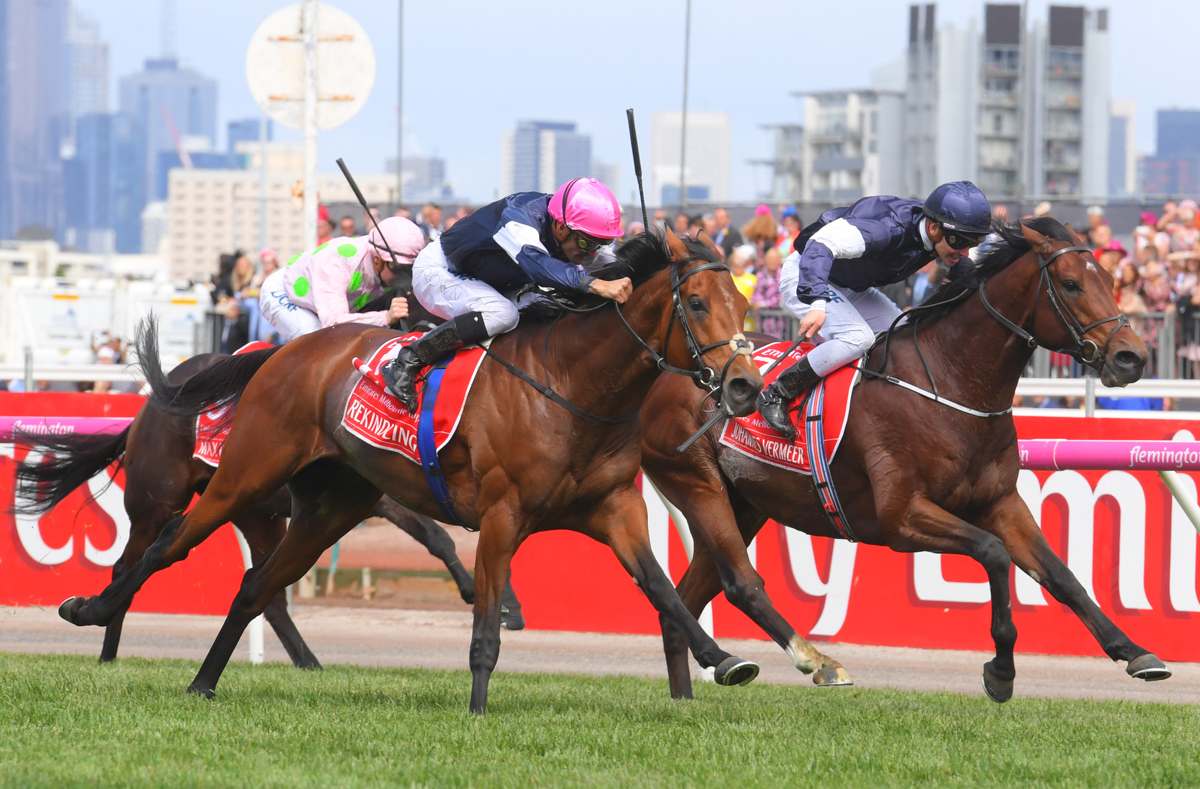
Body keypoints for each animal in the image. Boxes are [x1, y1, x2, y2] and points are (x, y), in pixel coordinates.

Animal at [56, 230, 763, 709]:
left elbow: (663, 590)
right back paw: (92, 614)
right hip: (237, 477)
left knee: (258, 588)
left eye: (743, 303)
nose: (746, 386)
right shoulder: (501, 514)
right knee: (163, 549)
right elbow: (483, 619)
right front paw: (477, 709)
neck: (570, 386)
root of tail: (279, 358)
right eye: (698, 303)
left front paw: (724, 660)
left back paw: (204, 682)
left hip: (325, 508)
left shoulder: (616, 509)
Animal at [643, 217, 1166, 700]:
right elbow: (993, 554)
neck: (952, 384)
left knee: (680, 607)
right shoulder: (902, 517)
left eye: (1111, 281)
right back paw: (818, 664)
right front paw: (1000, 671)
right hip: (700, 487)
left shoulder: (999, 502)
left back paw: (686, 699)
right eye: (1072, 284)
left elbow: (1061, 575)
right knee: (737, 582)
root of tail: (668, 371)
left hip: (745, 505)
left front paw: (1136, 653)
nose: (1133, 357)